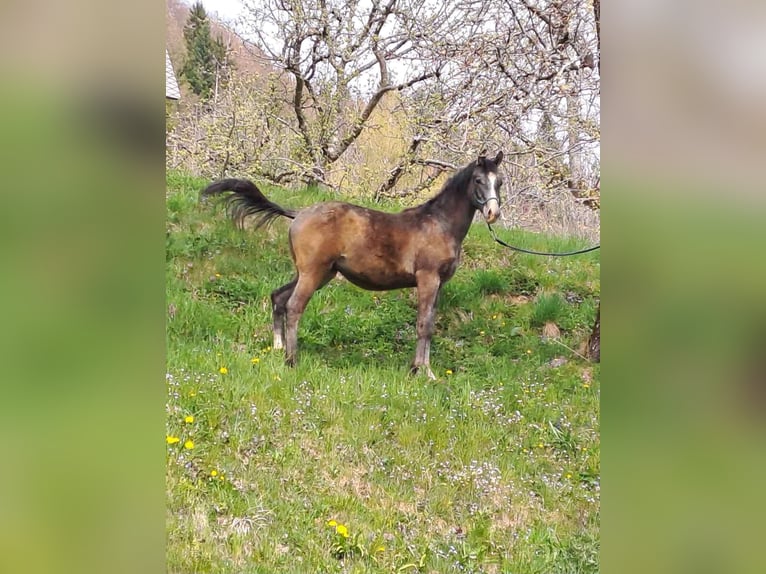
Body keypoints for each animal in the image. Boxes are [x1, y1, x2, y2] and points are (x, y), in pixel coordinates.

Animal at [202, 151, 504, 379]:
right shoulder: (427, 278)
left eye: (499, 182)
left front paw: (422, 368)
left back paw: (278, 348)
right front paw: (422, 371)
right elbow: (424, 324)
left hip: (319, 274)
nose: (493, 213)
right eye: (479, 180)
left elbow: (430, 322)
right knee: (294, 306)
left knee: (278, 297)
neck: (438, 224)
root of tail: (298, 214)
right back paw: (292, 360)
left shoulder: (439, 284)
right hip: (312, 274)